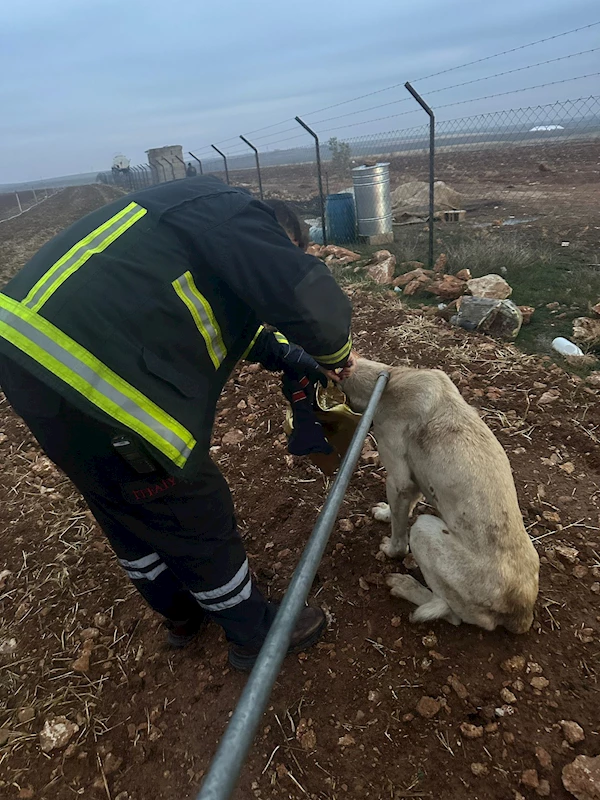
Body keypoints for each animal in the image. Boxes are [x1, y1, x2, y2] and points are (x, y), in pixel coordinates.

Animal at [342, 356, 540, 632]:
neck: (389, 381)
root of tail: (522, 613)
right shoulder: (414, 481)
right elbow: (400, 510)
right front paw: (384, 513)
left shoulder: (398, 481)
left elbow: (399, 540)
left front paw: (390, 549)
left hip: (423, 530)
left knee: (450, 613)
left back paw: (405, 586)